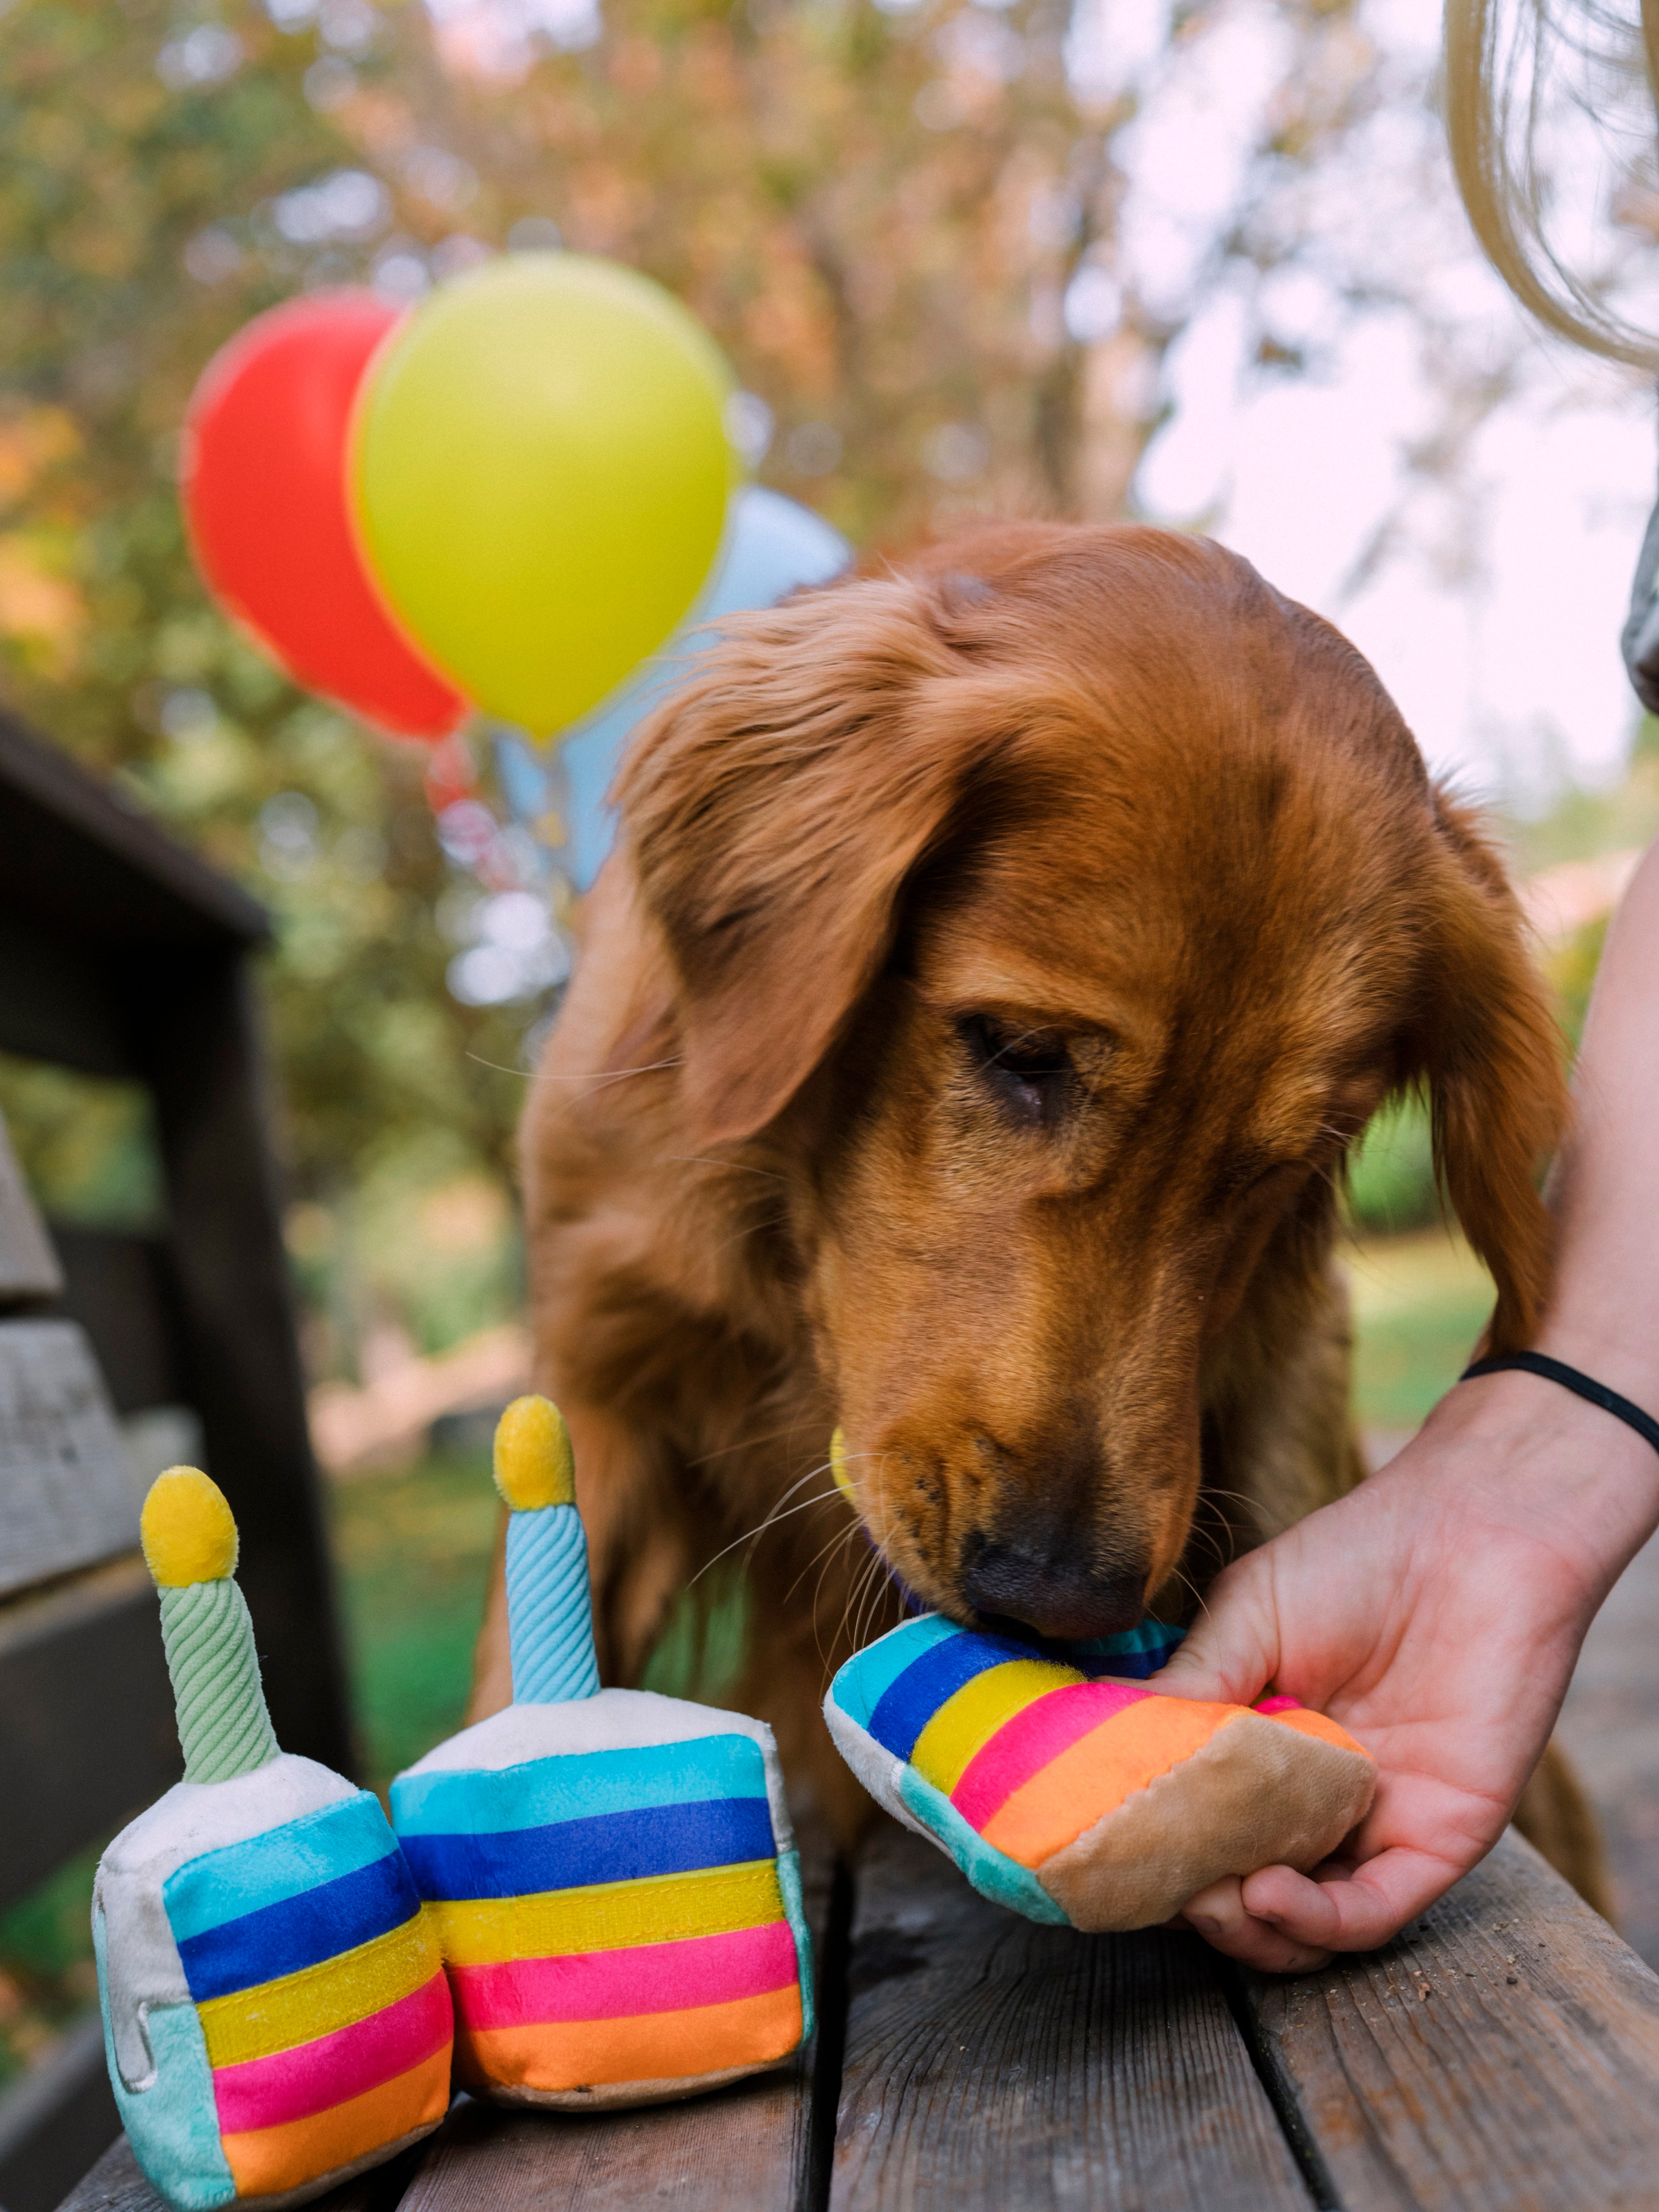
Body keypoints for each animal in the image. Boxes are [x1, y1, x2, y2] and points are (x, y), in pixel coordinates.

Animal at [478, 526, 1610, 1911]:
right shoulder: (599, 1384)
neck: (795, 1260)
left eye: (1286, 1162)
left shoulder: (1281, 1377)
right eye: (1017, 1051)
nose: (1054, 1597)